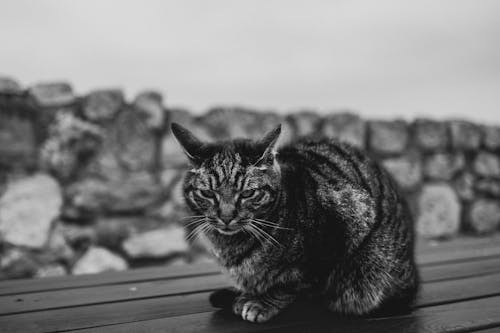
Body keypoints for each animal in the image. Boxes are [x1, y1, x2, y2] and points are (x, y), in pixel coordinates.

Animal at [170, 122, 420, 322]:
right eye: (208, 194)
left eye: (248, 194)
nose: (226, 216)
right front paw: (247, 294)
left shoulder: (344, 226)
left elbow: (291, 286)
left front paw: (262, 302)